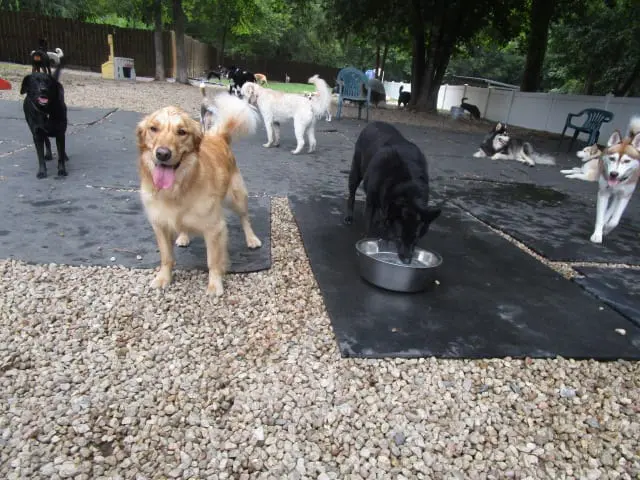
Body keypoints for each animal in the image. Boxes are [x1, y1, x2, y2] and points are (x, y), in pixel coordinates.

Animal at [136, 94, 262, 296]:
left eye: (182, 132)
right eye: (153, 128)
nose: (162, 154)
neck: (178, 188)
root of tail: (218, 135)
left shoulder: (214, 228)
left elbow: (213, 261)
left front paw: (215, 284)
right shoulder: (160, 225)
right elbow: (166, 257)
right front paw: (163, 278)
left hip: (236, 197)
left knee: (245, 218)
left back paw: (251, 239)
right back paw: (183, 236)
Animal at [342, 120, 442, 262]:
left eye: (416, 239)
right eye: (399, 237)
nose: (407, 261)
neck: (407, 184)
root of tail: (374, 122)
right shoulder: (371, 202)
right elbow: (368, 224)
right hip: (356, 172)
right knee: (352, 195)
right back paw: (350, 216)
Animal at [592, 116, 640, 244]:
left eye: (627, 161)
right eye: (612, 158)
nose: (613, 174)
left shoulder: (625, 195)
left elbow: (614, 221)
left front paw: (606, 229)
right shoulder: (603, 192)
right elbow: (600, 217)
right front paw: (597, 234)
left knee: (614, 204)